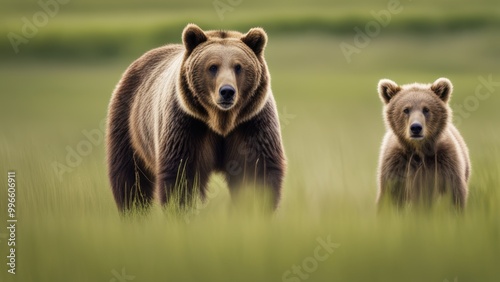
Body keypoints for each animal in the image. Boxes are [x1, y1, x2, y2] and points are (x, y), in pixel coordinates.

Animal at [106, 24, 286, 213]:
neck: (221, 121)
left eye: (238, 66)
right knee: (130, 176)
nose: (227, 91)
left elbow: (257, 172)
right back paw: (133, 211)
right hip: (129, 124)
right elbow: (181, 174)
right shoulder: (187, 124)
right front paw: (181, 210)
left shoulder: (251, 123)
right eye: (213, 66)